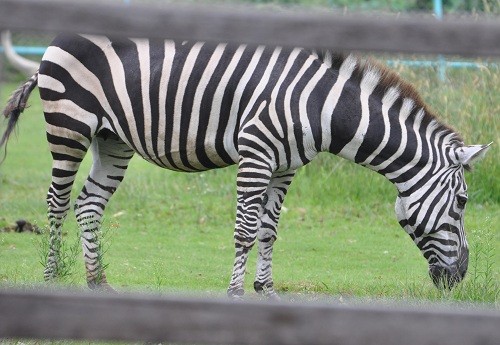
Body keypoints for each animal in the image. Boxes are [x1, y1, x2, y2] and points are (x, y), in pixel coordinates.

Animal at [0, 34, 490, 298]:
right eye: (463, 202)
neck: (321, 105)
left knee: (88, 204)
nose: (461, 277)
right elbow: (245, 230)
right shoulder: (256, 153)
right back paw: (51, 277)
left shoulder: (286, 166)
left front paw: (266, 289)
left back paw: (98, 282)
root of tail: (54, 40)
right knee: (57, 201)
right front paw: (235, 292)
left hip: (112, 137)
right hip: (69, 125)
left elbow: (269, 230)